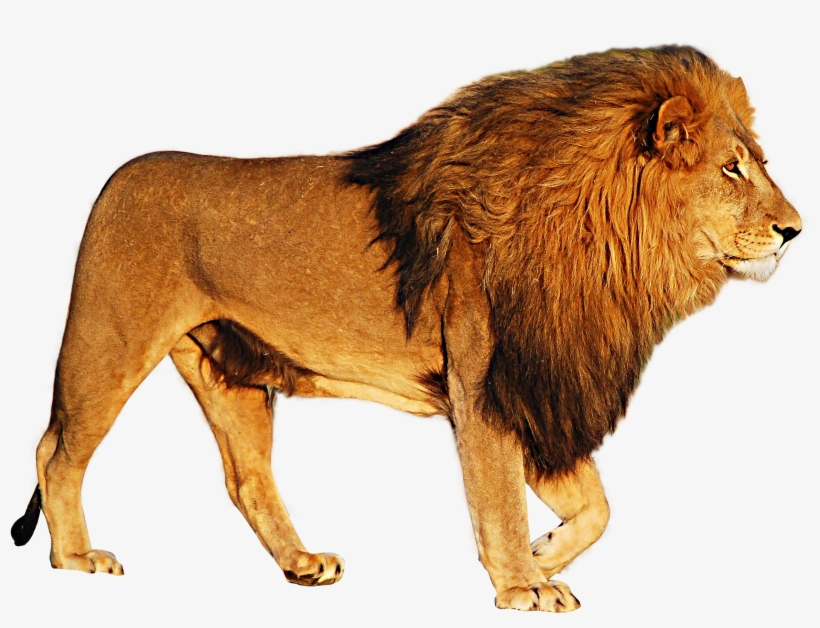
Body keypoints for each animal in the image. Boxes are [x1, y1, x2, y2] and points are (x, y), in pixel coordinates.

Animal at [11, 45, 801, 612]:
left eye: (757, 163)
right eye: (732, 169)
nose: (795, 230)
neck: (609, 249)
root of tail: (117, 178)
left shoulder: (537, 385)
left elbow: (598, 506)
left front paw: (545, 551)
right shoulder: (486, 385)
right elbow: (499, 498)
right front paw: (522, 585)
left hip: (229, 373)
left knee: (246, 478)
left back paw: (302, 566)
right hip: (109, 342)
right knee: (56, 450)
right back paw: (75, 560)